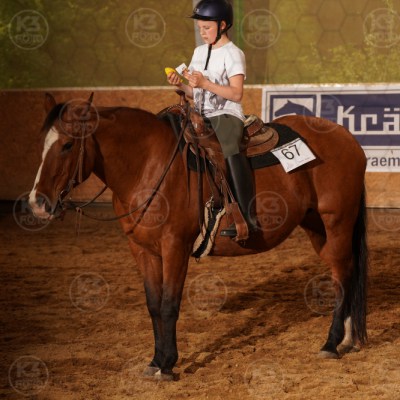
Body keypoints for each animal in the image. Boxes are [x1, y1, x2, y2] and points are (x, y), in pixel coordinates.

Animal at [29, 93, 368, 381]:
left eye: (68, 145)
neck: (147, 164)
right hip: (317, 228)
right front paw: (154, 361)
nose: (38, 203)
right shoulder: (142, 250)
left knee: (342, 276)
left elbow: (169, 304)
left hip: (336, 222)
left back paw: (331, 343)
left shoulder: (175, 247)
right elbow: (154, 305)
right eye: (41, 144)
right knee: (346, 272)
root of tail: (347, 138)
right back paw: (347, 339)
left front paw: (167, 365)